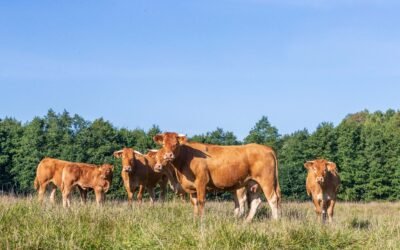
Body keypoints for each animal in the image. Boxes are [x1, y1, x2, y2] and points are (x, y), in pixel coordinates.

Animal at [153, 132, 282, 220]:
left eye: (176, 144)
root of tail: (267, 148)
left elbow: (201, 202)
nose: (168, 155)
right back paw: (246, 222)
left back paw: (274, 221)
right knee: (256, 202)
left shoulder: (201, 182)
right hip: (252, 183)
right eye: (163, 144)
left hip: (266, 181)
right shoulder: (192, 188)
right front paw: (195, 219)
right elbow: (194, 204)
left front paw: (201, 221)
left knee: (272, 199)